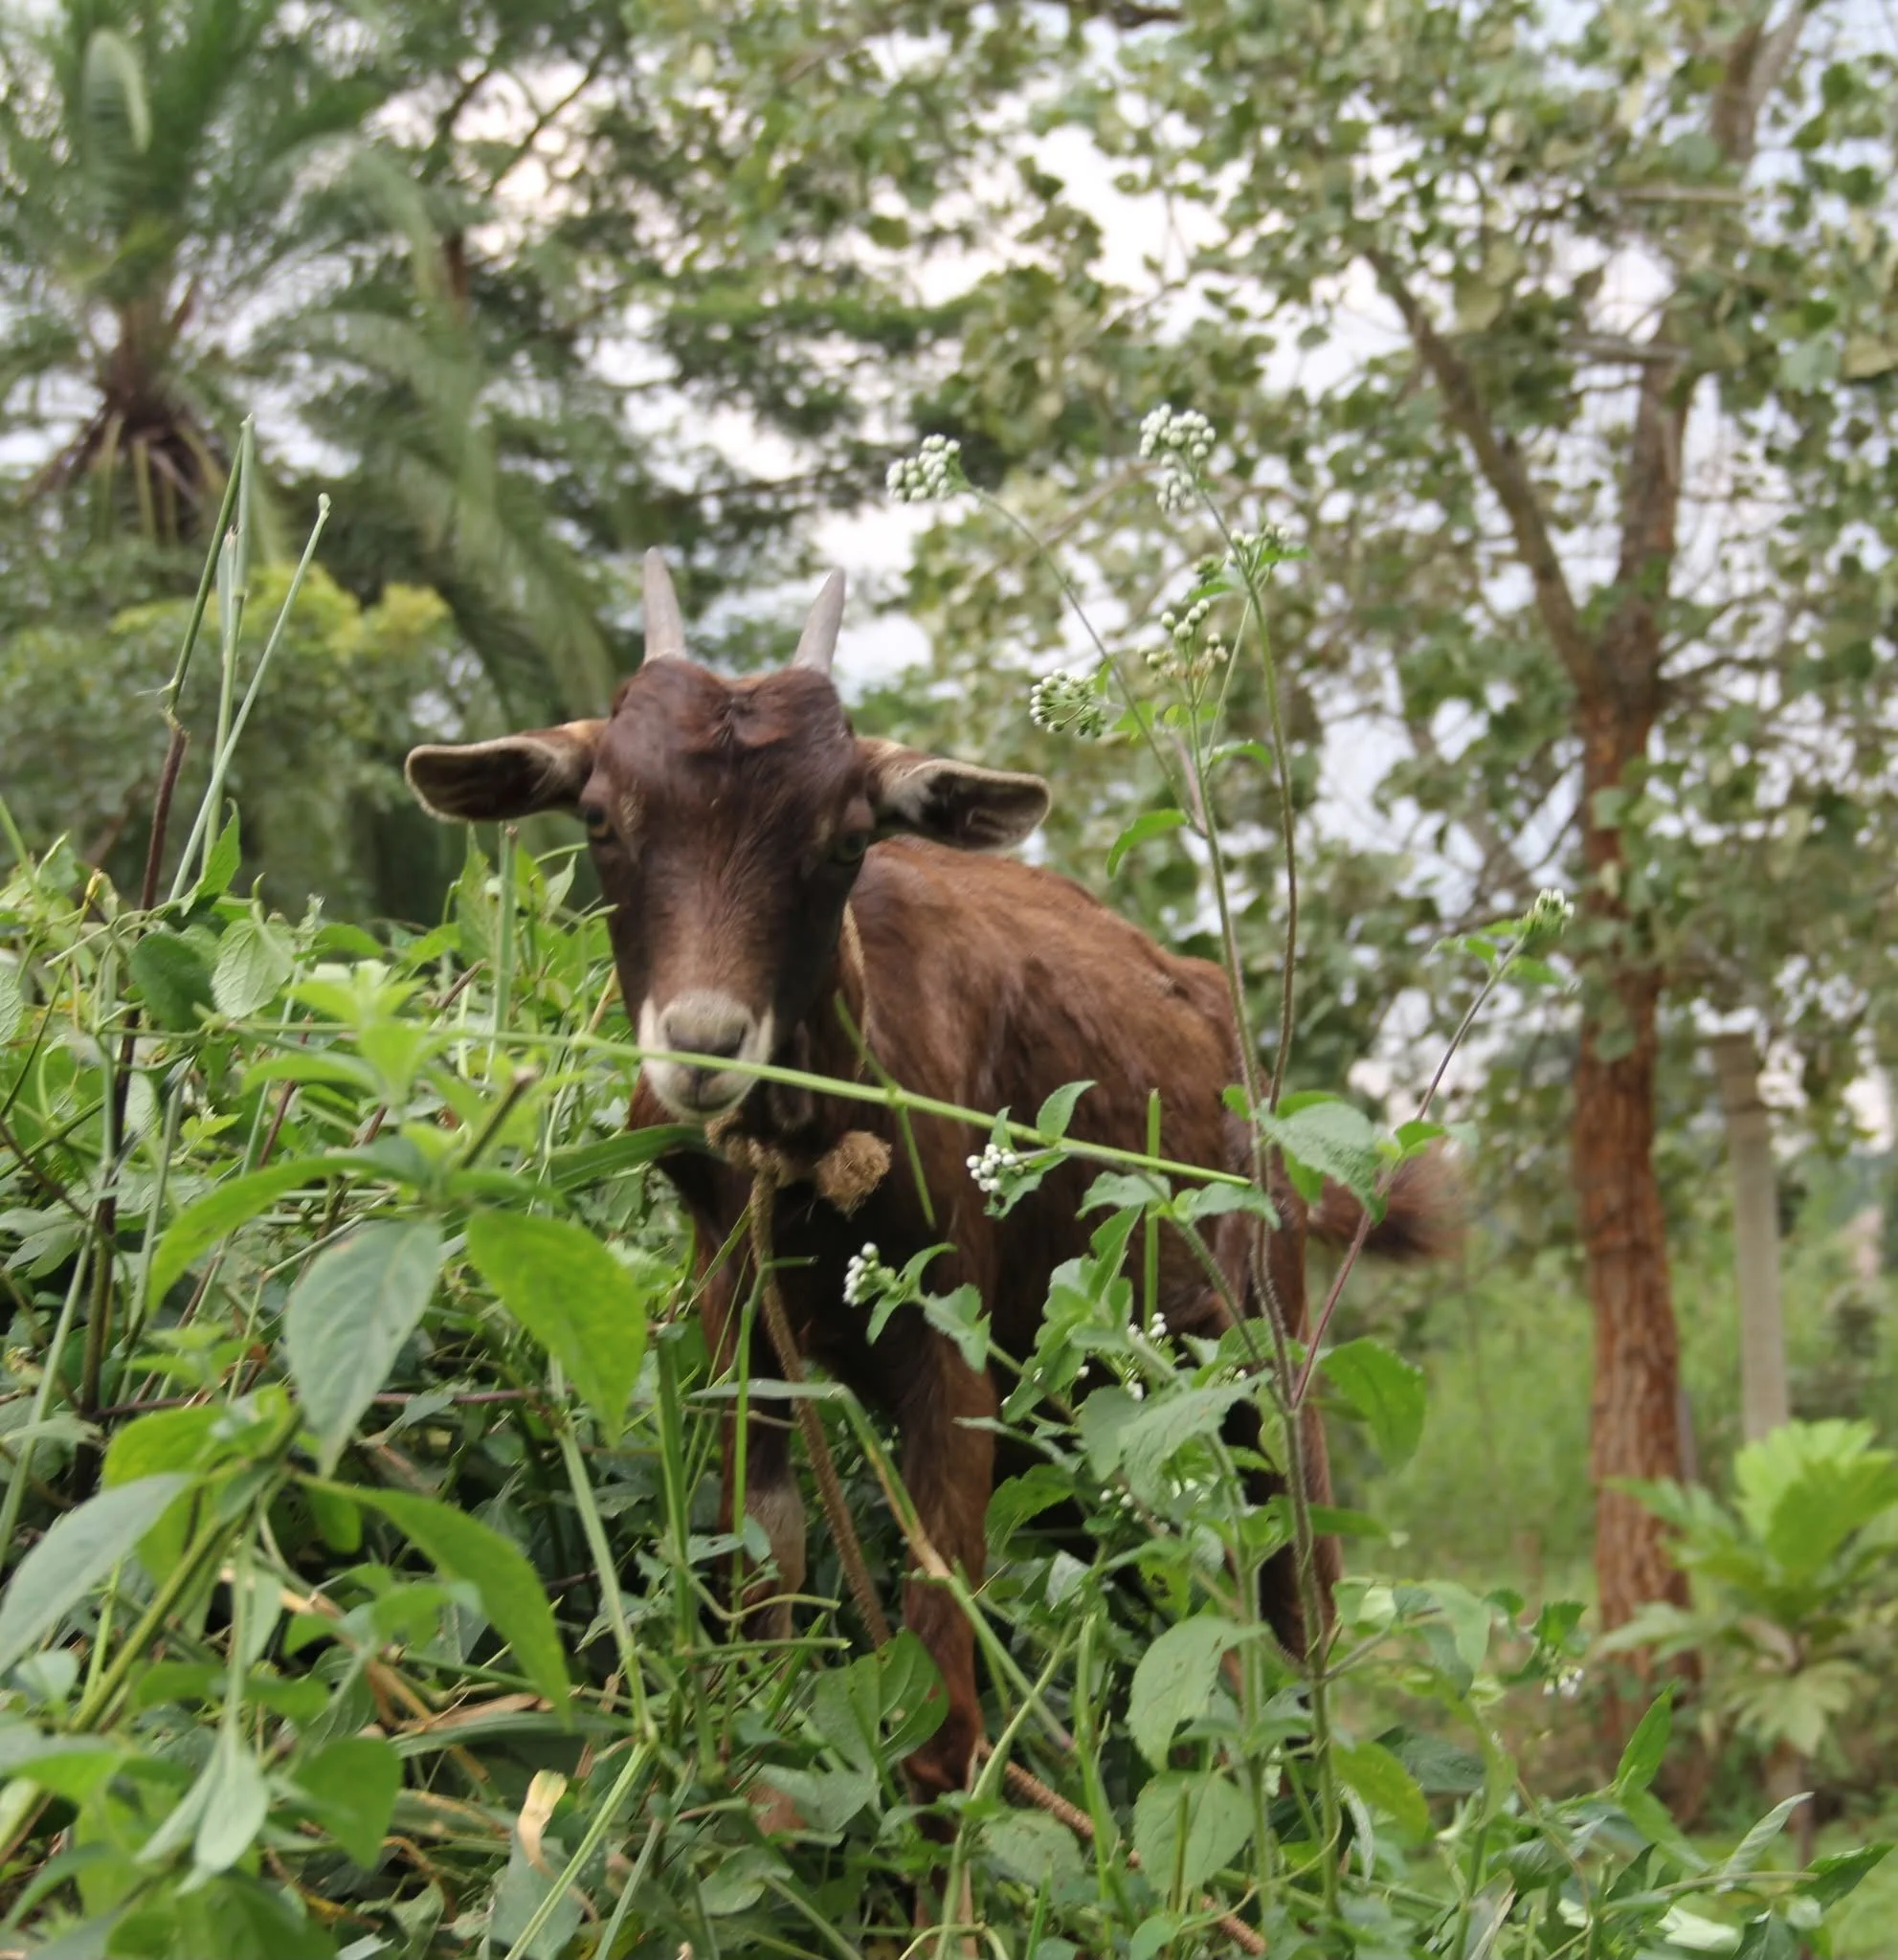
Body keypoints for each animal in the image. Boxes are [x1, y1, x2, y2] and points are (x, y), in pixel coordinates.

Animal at [406, 553, 1445, 1803]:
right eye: (603, 818)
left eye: (845, 837)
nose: (703, 1041)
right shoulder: (738, 1319)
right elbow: (767, 1557)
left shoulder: (953, 1332)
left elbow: (942, 1645)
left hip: (1256, 1342)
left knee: (1297, 1575)